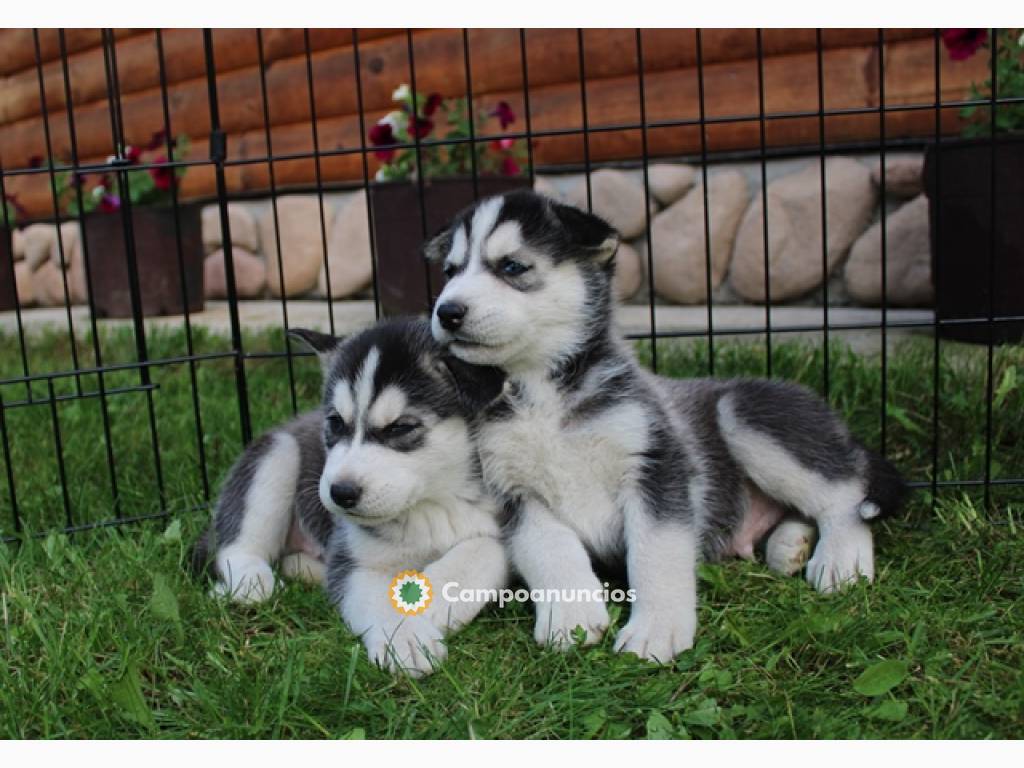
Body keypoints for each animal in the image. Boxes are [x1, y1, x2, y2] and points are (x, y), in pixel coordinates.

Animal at [189, 317, 507, 671]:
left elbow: (486, 548)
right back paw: (252, 581)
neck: (431, 503)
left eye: (400, 427)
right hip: (278, 452)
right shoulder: (353, 560)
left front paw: (435, 595)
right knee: (235, 547)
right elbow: (373, 595)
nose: (341, 493)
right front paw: (405, 636)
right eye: (336, 422)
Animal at [421, 189, 905, 663]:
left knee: (845, 492)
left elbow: (657, 554)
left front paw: (656, 629)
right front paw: (570, 617)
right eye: (449, 271)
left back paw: (840, 558)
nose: (447, 311)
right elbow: (549, 551)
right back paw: (790, 545)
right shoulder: (514, 493)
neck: (542, 393)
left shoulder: (655, 464)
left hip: (745, 414)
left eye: (512, 266)